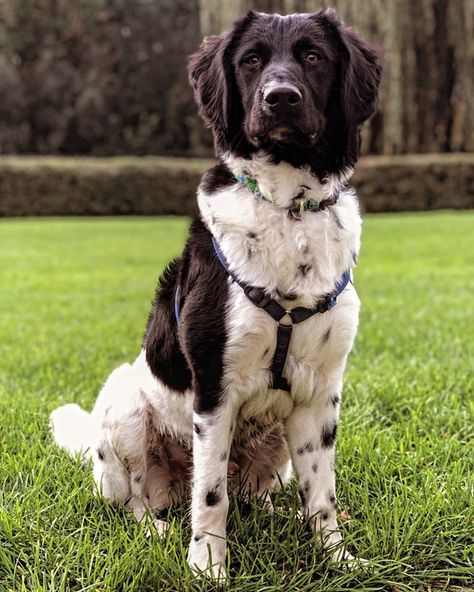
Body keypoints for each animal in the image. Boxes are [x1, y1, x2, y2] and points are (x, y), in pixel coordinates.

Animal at [50, 9, 380, 580]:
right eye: (251, 61)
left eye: (313, 56)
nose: (280, 97)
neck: (288, 208)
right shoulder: (214, 388)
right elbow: (210, 497)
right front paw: (207, 566)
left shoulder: (320, 395)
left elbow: (323, 494)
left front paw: (335, 556)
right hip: (124, 404)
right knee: (142, 500)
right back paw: (157, 527)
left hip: (276, 448)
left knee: (258, 494)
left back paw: (276, 514)